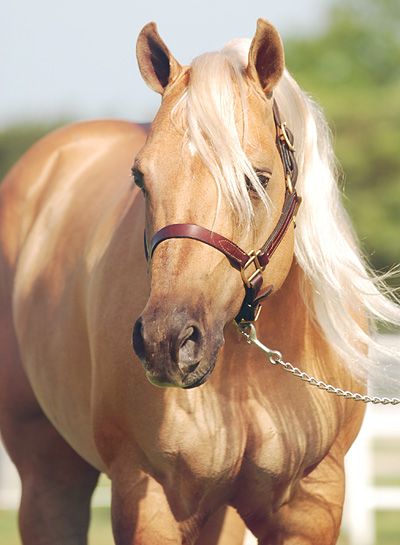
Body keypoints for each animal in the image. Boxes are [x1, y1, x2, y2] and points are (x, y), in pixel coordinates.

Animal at [0, 18, 400, 544]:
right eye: (140, 177)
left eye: (256, 178)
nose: (167, 342)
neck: (245, 377)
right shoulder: (151, 499)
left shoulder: (310, 506)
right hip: (46, 471)